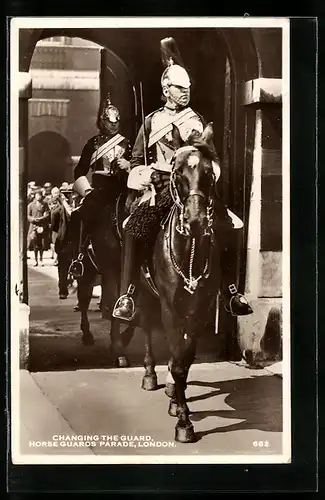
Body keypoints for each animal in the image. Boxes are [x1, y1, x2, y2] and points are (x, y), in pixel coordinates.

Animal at [131, 123, 220, 444]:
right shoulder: (170, 307)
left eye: (208, 172)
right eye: (178, 172)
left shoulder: (200, 308)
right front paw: (184, 422)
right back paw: (151, 376)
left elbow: (186, 358)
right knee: (147, 330)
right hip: (146, 297)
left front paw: (178, 404)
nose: (195, 221)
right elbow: (178, 361)